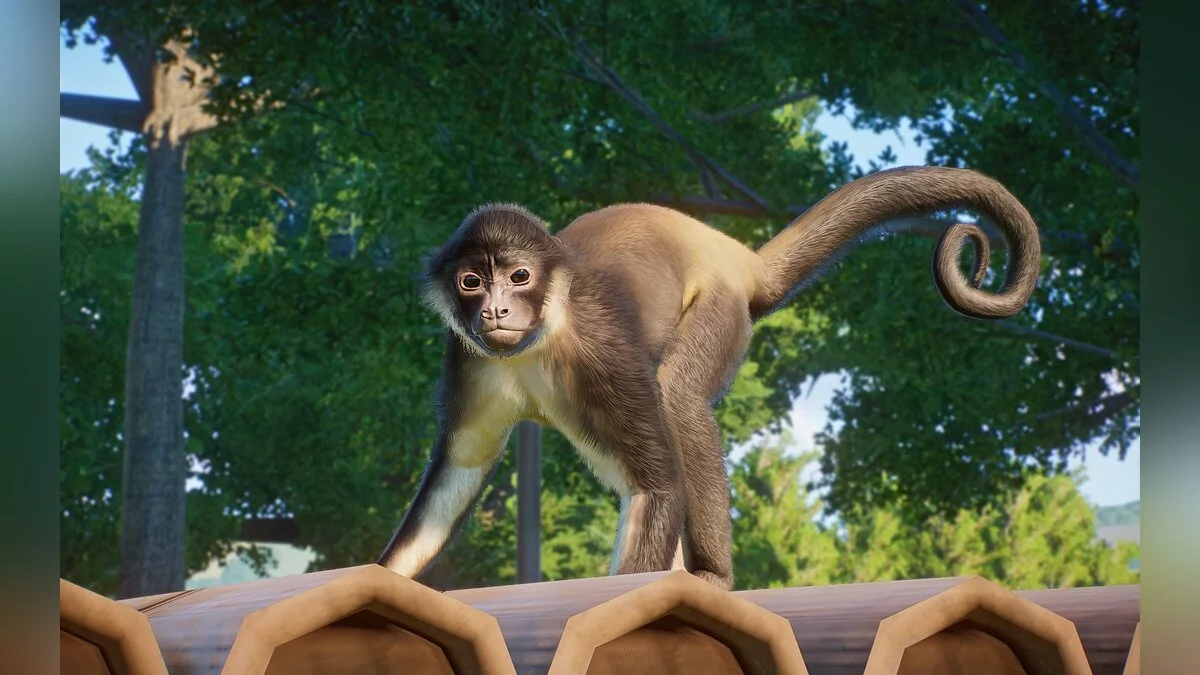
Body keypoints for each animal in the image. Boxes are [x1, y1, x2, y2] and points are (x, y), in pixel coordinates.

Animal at [376, 165, 1041, 590]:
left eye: (518, 277)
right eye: (471, 282)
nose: (495, 309)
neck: (541, 337)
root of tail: (728, 249)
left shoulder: (597, 341)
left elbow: (656, 486)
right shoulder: (471, 354)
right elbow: (463, 464)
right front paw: (380, 575)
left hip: (720, 305)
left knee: (676, 395)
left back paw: (713, 576)